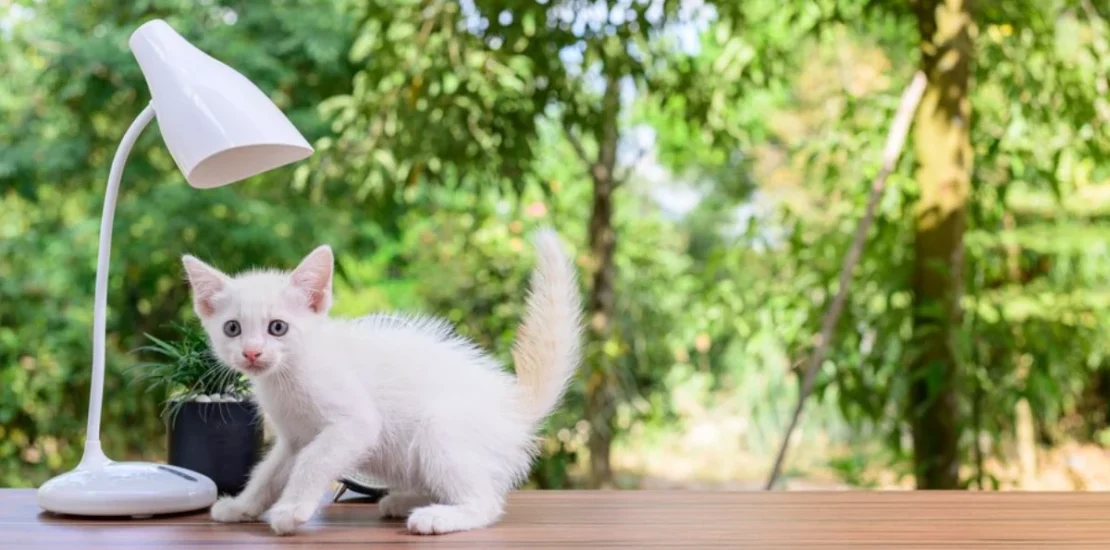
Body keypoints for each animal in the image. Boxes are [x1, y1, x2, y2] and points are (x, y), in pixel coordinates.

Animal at [179, 228, 581, 537]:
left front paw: (291, 510)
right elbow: (268, 472)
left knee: (486, 502)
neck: (289, 375)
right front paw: (242, 506)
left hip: (441, 428)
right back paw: (405, 500)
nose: (251, 353)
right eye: (232, 328)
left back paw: (438, 516)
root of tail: (514, 404)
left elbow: (313, 461)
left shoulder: (354, 423)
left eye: (278, 327)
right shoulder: (293, 437)